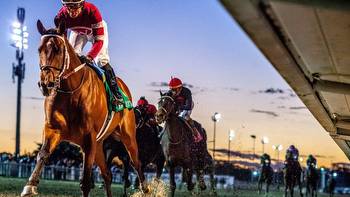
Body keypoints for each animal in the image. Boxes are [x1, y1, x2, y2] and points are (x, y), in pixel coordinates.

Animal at [21, 20, 148, 197]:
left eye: (58, 49)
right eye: (39, 49)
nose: (45, 83)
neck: (70, 91)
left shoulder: (88, 138)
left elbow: (86, 181)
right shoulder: (53, 129)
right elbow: (43, 154)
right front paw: (29, 186)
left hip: (128, 138)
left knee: (137, 165)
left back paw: (145, 189)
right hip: (100, 144)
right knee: (107, 174)